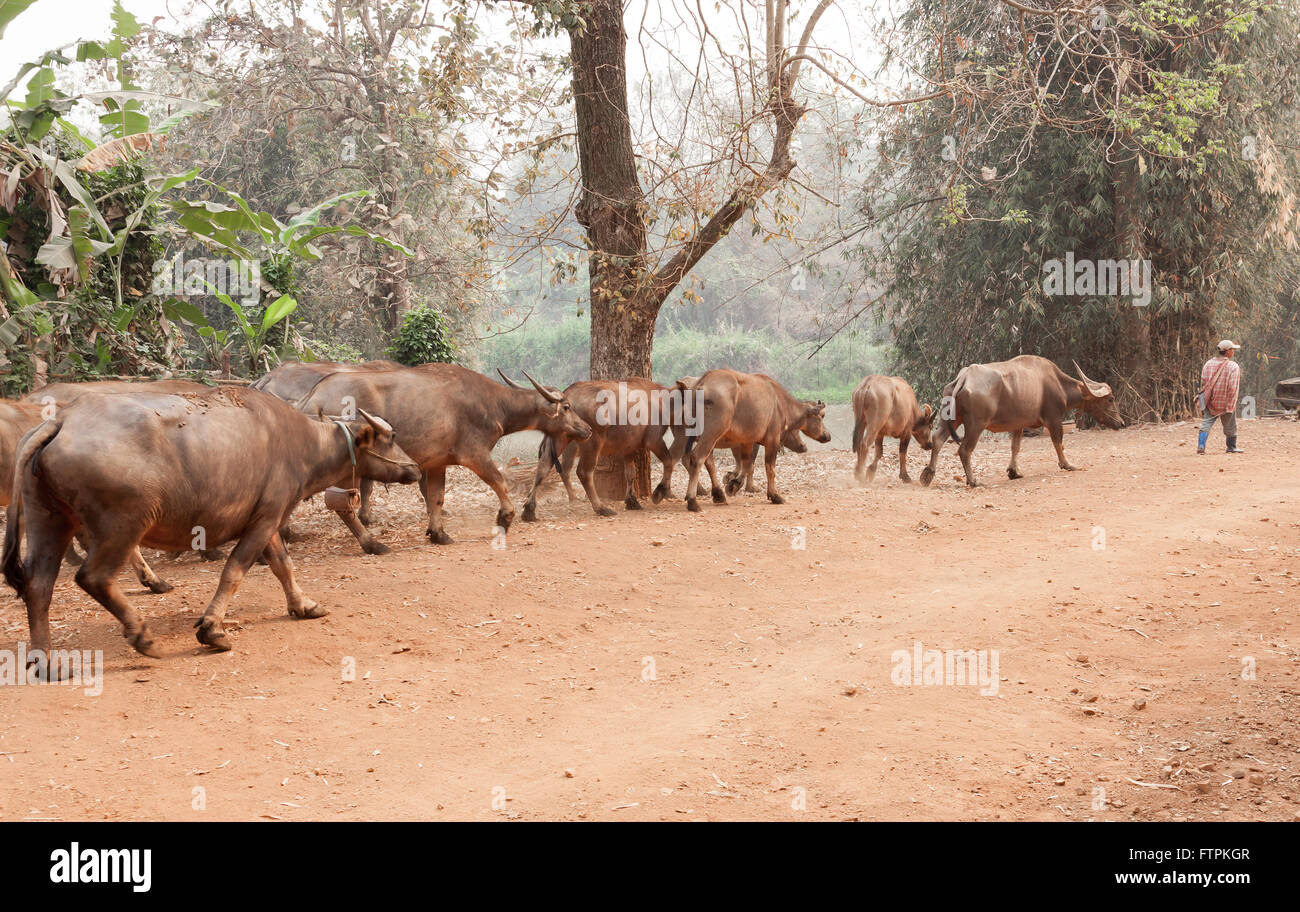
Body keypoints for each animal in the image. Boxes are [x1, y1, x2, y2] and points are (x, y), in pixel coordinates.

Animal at [0, 387, 416, 665]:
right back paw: (143, 636)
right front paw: (212, 629)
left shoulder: (267, 521)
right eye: (392, 438)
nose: (412, 467)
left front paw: (304, 605)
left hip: (48, 518)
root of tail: (62, 421)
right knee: (94, 577)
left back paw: (45, 659)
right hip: (125, 523)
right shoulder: (266, 518)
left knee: (38, 585)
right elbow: (234, 572)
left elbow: (283, 566)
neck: (304, 443)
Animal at [293, 366, 590, 550]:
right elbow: (499, 482)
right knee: (341, 504)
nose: (586, 429)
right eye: (567, 406)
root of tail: (311, 397)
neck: (493, 403)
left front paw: (438, 533)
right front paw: (505, 517)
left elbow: (436, 497)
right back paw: (371, 544)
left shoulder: (438, 463)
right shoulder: (475, 455)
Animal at [517, 376, 676, 522]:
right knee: (583, 472)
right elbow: (669, 461)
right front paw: (661, 492)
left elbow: (630, 473)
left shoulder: (629, 448)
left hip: (560, 439)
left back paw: (529, 510)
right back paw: (601, 508)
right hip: (592, 442)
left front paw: (632, 501)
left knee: (543, 468)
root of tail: (569, 394)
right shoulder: (654, 440)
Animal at [670, 371, 832, 514]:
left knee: (689, 459)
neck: (780, 403)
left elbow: (747, 464)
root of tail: (699, 384)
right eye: (822, 416)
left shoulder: (747, 441)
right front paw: (774, 495)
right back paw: (693, 500)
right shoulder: (771, 440)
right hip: (710, 434)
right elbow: (769, 468)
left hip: (686, 436)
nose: (828, 436)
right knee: (697, 458)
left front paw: (734, 484)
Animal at [920, 355, 1123, 488]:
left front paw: (1014, 471)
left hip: (951, 419)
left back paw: (928, 474)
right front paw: (1067, 465)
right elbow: (1058, 442)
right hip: (976, 424)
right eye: (1110, 399)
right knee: (964, 449)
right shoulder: (1053, 418)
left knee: (937, 440)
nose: (1121, 423)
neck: (1056, 382)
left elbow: (1015, 447)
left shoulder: (1018, 425)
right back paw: (973, 481)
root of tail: (965, 376)